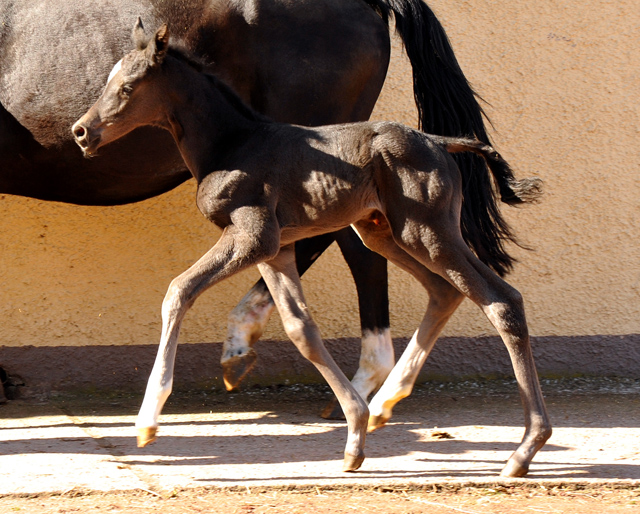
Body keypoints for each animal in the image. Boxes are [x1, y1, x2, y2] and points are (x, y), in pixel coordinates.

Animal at [71, 22, 552, 474]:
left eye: (128, 87)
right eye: (109, 80)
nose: (81, 132)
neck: (232, 143)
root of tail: (440, 141)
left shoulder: (252, 235)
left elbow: (178, 290)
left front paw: (147, 421)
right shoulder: (275, 249)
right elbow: (301, 329)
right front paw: (355, 434)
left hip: (427, 231)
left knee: (502, 301)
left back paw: (524, 450)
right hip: (382, 231)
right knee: (445, 291)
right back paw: (384, 405)